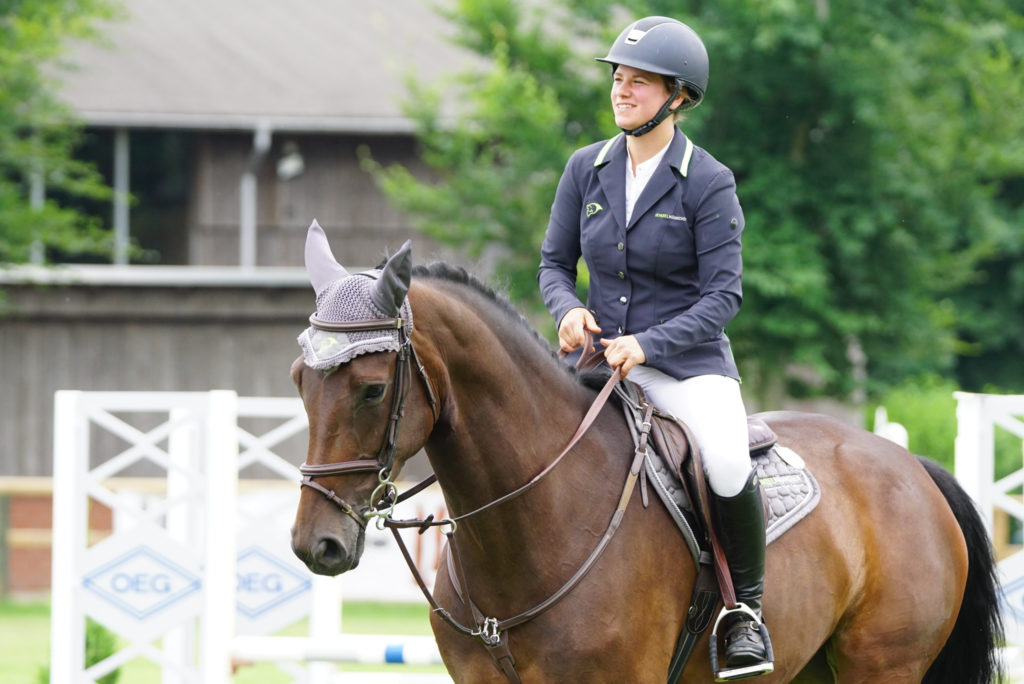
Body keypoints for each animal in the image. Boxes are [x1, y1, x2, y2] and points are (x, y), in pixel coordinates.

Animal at [288, 223, 999, 679]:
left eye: (373, 388)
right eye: (299, 379)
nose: (315, 544)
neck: (535, 518)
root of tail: (913, 467)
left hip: (882, 663)